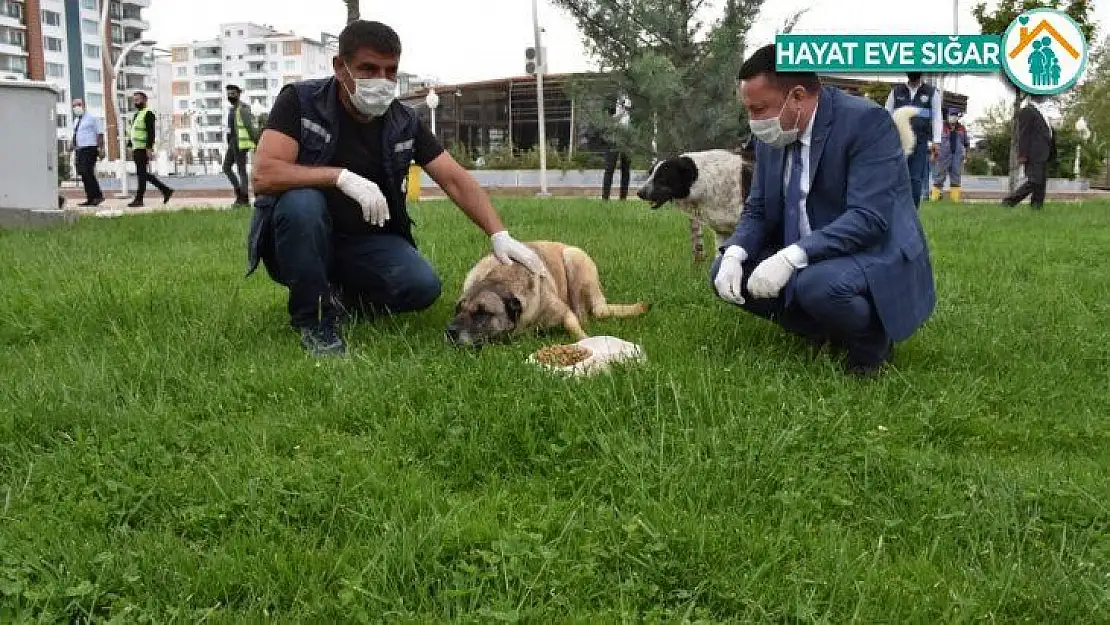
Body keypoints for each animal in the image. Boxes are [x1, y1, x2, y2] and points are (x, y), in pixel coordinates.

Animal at [444, 240, 648, 346]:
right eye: (458, 309)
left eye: (482, 312)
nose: (450, 331)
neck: (501, 279)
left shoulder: (564, 312)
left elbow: (575, 327)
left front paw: (585, 341)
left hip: (574, 258)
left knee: (590, 313)